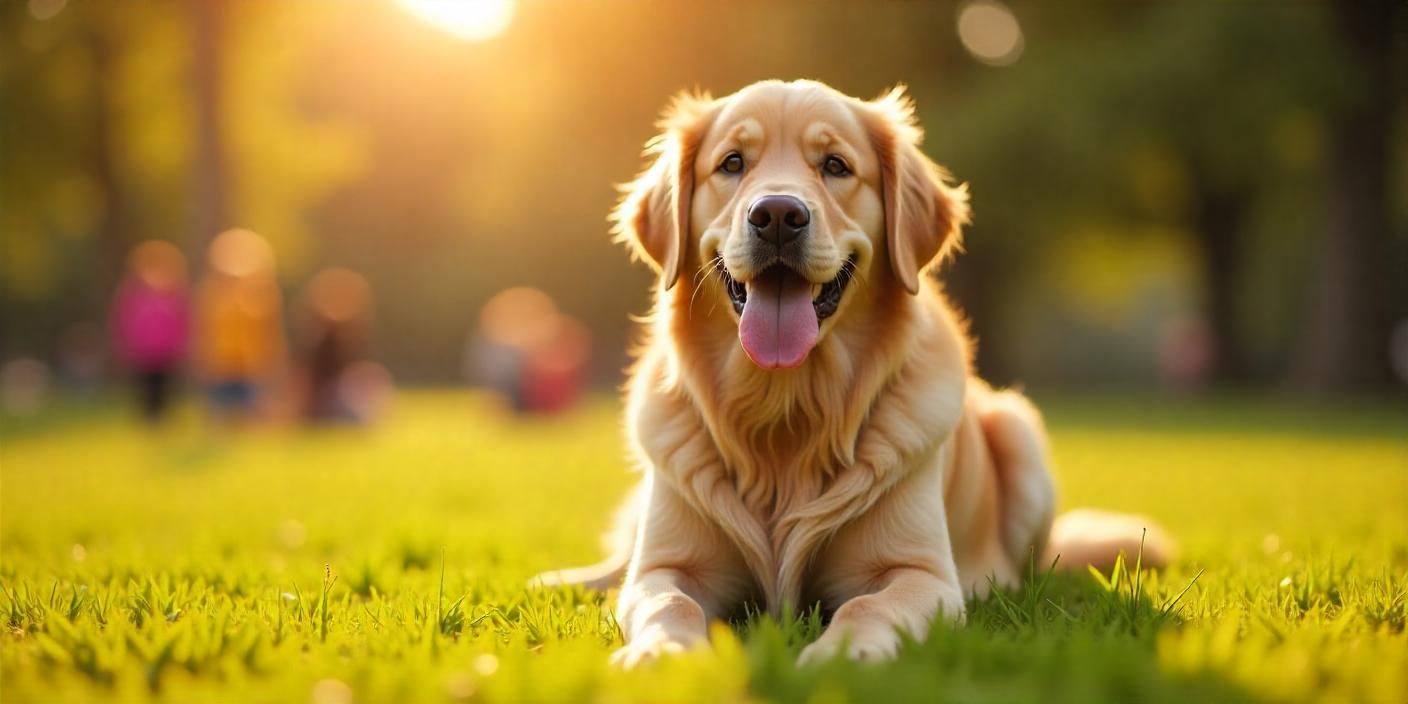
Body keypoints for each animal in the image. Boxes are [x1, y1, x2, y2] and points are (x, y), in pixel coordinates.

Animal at [532, 80, 1171, 664]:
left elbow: (868, 605)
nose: (778, 215)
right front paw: (661, 655)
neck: (785, 413)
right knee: (619, 560)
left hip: (1019, 431)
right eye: (732, 163)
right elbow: (667, 600)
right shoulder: (667, 565)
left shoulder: (919, 573)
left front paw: (840, 657)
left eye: (836, 165)